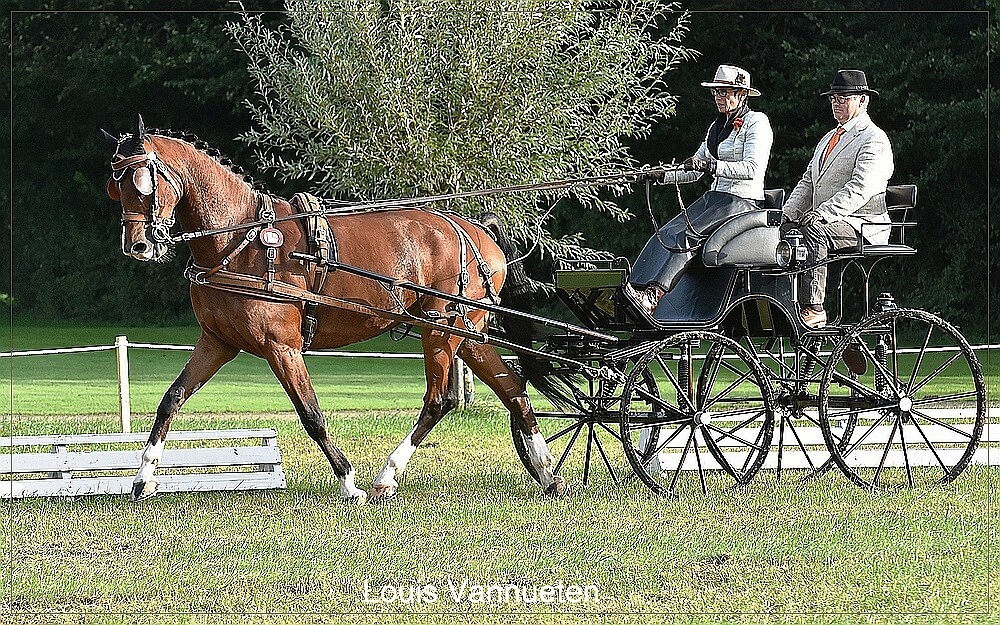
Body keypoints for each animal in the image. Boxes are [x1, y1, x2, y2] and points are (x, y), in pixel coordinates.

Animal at [104, 113, 568, 502]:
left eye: (144, 182)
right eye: (116, 186)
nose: (137, 246)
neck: (240, 241)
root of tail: (474, 228)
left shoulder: (281, 346)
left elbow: (311, 415)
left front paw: (349, 483)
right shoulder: (217, 343)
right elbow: (170, 401)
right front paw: (143, 478)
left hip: (441, 329)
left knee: (440, 400)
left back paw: (385, 478)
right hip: (466, 331)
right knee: (514, 391)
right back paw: (548, 473)